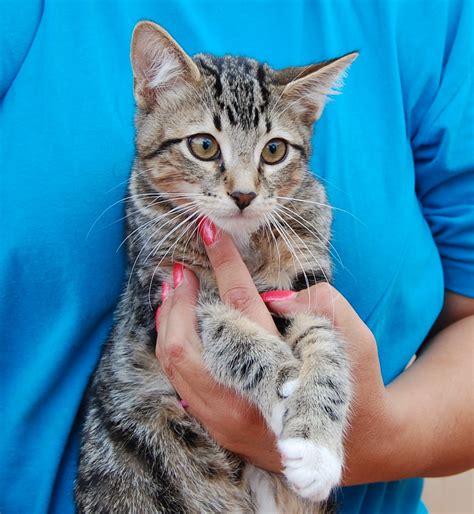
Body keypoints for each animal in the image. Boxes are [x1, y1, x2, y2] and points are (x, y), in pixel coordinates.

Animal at [76, 20, 358, 512]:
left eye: (274, 151)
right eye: (204, 145)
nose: (244, 194)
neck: (241, 243)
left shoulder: (304, 283)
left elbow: (327, 342)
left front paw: (316, 448)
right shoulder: (159, 294)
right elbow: (222, 326)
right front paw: (281, 378)